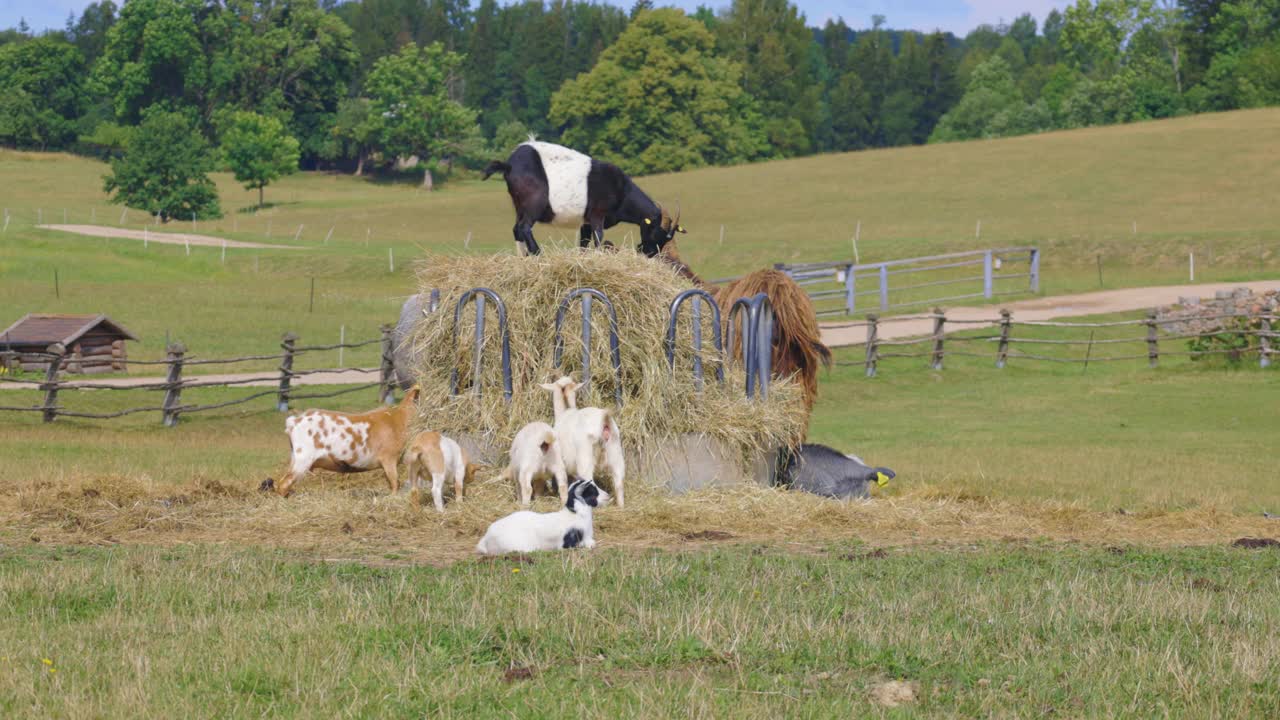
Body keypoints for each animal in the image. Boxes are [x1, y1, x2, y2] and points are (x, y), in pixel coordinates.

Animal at [481, 139, 686, 254]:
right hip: (534, 203)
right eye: (655, 233)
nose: (649, 253)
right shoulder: (597, 215)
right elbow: (598, 238)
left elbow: (584, 244)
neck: (621, 189)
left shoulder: (585, 222)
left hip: (518, 205)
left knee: (516, 229)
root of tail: (509, 165)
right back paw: (538, 254)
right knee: (524, 227)